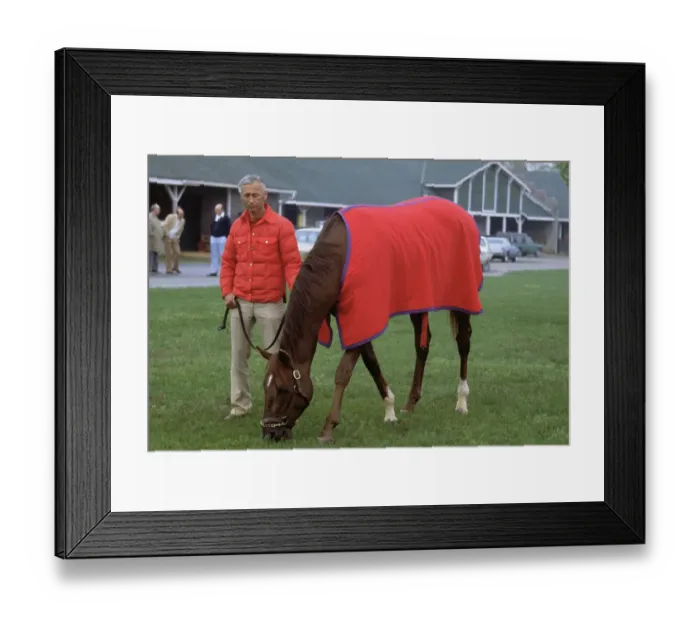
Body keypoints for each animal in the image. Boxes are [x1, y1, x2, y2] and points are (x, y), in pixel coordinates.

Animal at [256, 195, 484, 443]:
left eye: (282, 389)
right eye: (265, 387)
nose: (270, 433)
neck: (340, 256)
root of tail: (462, 213)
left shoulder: (363, 316)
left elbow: (343, 373)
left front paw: (328, 427)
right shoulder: (358, 322)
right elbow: (371, 363)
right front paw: (390, 411)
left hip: (462, 297)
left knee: (463, 343)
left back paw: (462, 401)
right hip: (419, 301)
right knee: (422, 345)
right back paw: (411, 402)